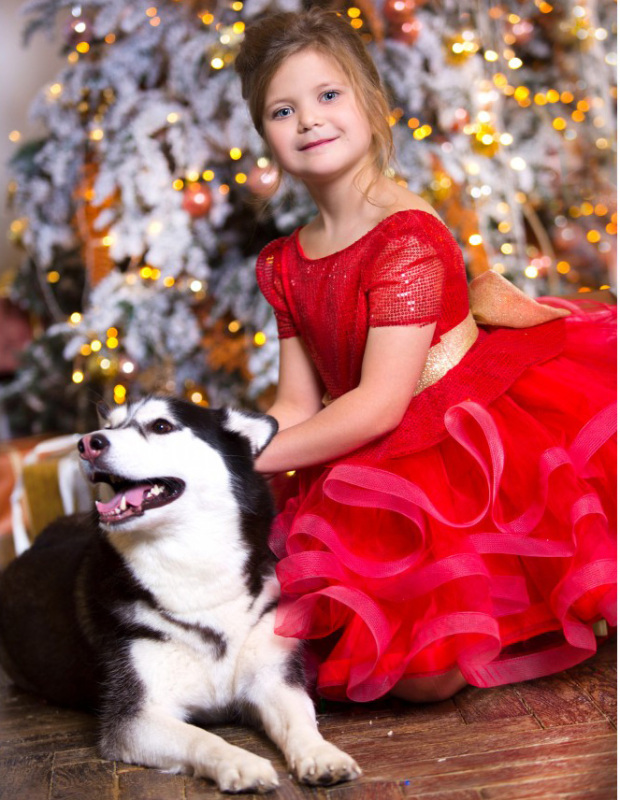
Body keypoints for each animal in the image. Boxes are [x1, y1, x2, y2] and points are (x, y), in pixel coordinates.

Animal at [0, 400, 358, 792]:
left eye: (161, 426)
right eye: (110, 426)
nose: (87, 444)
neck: (192, 569)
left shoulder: (272, 679)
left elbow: (300, 721)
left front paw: (321, 754)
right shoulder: (136, 716)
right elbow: (202, 738)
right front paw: (242, 762)